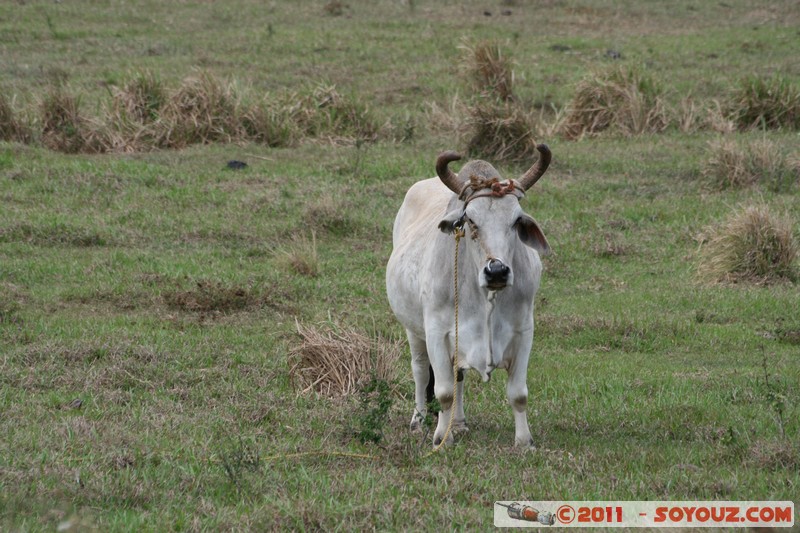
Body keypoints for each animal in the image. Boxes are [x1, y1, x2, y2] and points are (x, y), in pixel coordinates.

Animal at [386, 144, 552, 444]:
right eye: (470, 220)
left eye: (515, 221)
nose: (497, 271)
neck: (485, 297)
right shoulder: (436, 332)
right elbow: (443, 392)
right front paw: (442, 438)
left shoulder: (524, 331)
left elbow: (518, 394)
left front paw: (524, 441)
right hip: (413, 329)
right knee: (420, 371)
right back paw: (419, 420)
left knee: (458, 376)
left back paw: (460, 422)